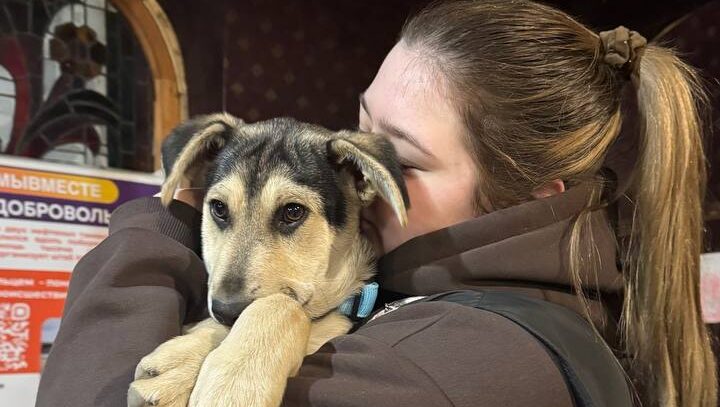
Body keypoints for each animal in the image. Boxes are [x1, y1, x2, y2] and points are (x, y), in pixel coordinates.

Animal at [129, 115, 408, 407]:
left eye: (293, 211)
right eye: (219, 208)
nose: (226, 311)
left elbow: (281, 305)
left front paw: (232, 384)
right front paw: (184, 361)